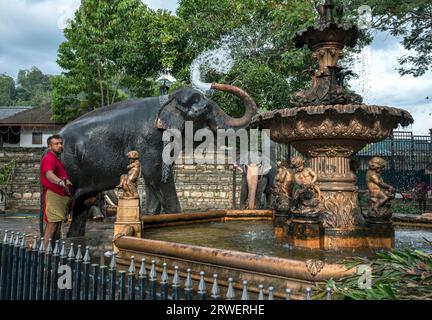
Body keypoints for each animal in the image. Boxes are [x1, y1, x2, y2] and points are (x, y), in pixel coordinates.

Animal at [59, 83, 258, 238]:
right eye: (205, 109)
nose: (214, 84)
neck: (167, 100)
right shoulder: (149, 139)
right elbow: (156, 176)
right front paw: (177, 221)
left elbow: (152, 181)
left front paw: (151, 217)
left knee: (82, 205)